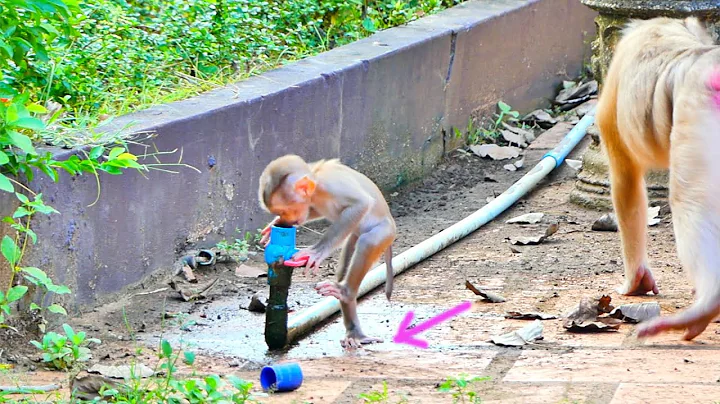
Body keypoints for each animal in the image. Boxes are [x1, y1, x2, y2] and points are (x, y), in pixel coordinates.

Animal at [258, 155, 396, 348]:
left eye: (285, 210)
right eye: (280, 212)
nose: (285, 221)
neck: (316, 181)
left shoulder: (331, 184)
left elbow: (361, 204)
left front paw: (316, 252)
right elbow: (313, 210)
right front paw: (273, 225)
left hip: (384, 232)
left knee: (368, 241)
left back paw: (345, 292)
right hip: (352, 234)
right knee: (346, 263)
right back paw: (354, 329)